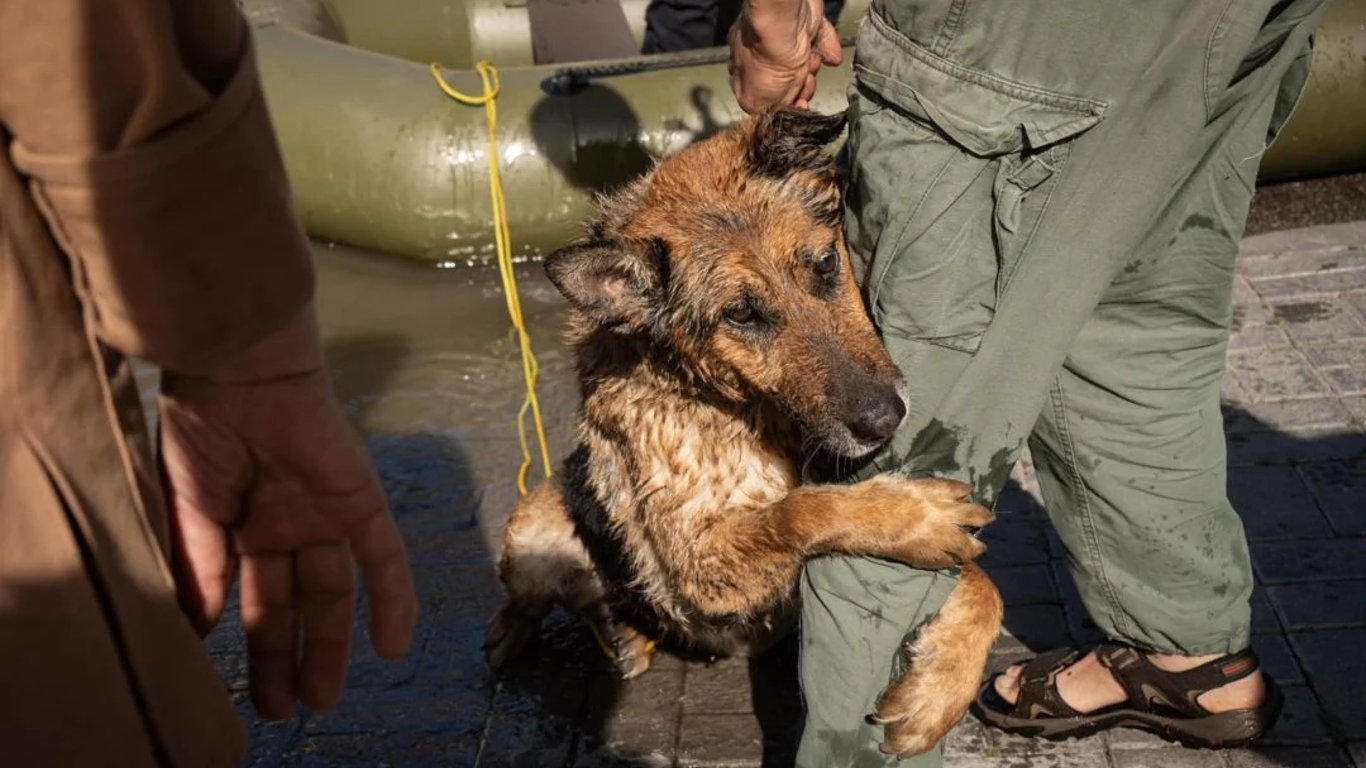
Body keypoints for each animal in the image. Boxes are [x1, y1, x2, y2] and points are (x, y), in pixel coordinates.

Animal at [489, 107, 1005, 754]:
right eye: (740, 314)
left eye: (826, 265)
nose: (885, 419)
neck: (742, 406)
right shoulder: (697, 565)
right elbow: (802, 510)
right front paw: (908, 516)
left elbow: (984, 584)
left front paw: (940, 689)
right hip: (535, 530)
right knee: (530, 603)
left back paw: (628, 632)